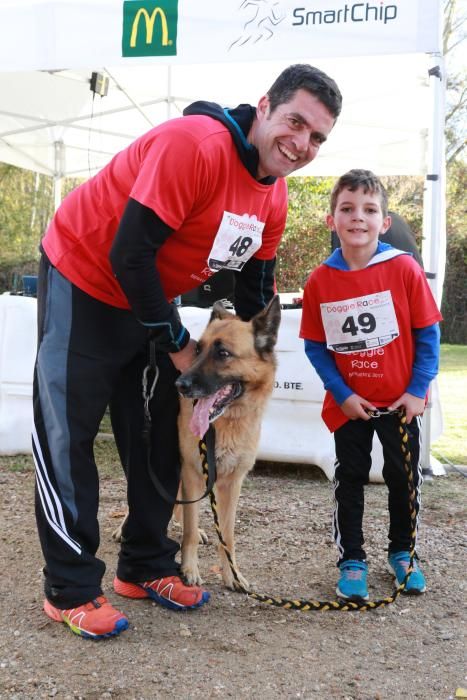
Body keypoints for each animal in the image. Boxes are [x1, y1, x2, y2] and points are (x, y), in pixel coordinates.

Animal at [174, 296, 280, 592]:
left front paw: (231, 574)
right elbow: (188, 529)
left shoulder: (232, 483)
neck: (226, 423)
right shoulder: (191, 472)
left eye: (223, 354)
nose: (180, 384)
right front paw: (189, 570)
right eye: (198, 349)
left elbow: (228, 535)